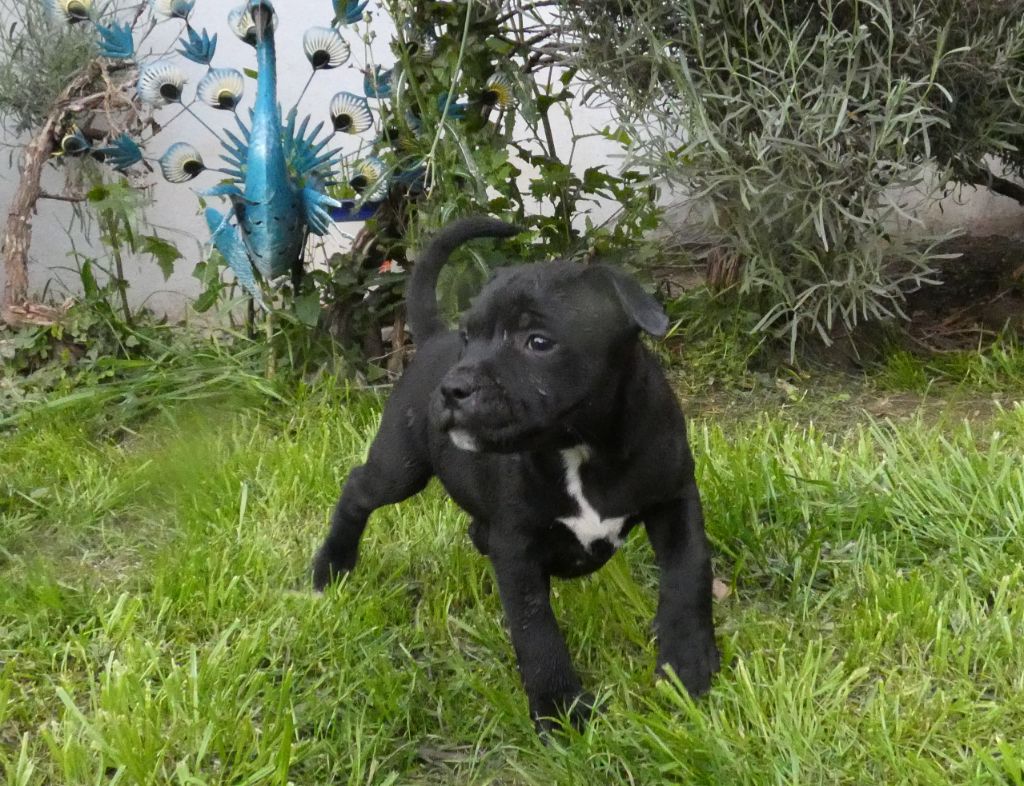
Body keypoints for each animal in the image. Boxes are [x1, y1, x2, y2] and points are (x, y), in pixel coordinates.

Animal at [312, 216, 719, 730]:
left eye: (538, 342)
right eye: (470, 338)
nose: (453, 387)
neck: (578, 447)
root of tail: (432, 339)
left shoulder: (673, 499)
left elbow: (688, 577)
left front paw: (687, 666)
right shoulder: (518, 546)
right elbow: (534, 628)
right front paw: (560, 708)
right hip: (400, 467)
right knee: (358, 490)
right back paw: (331, 567)